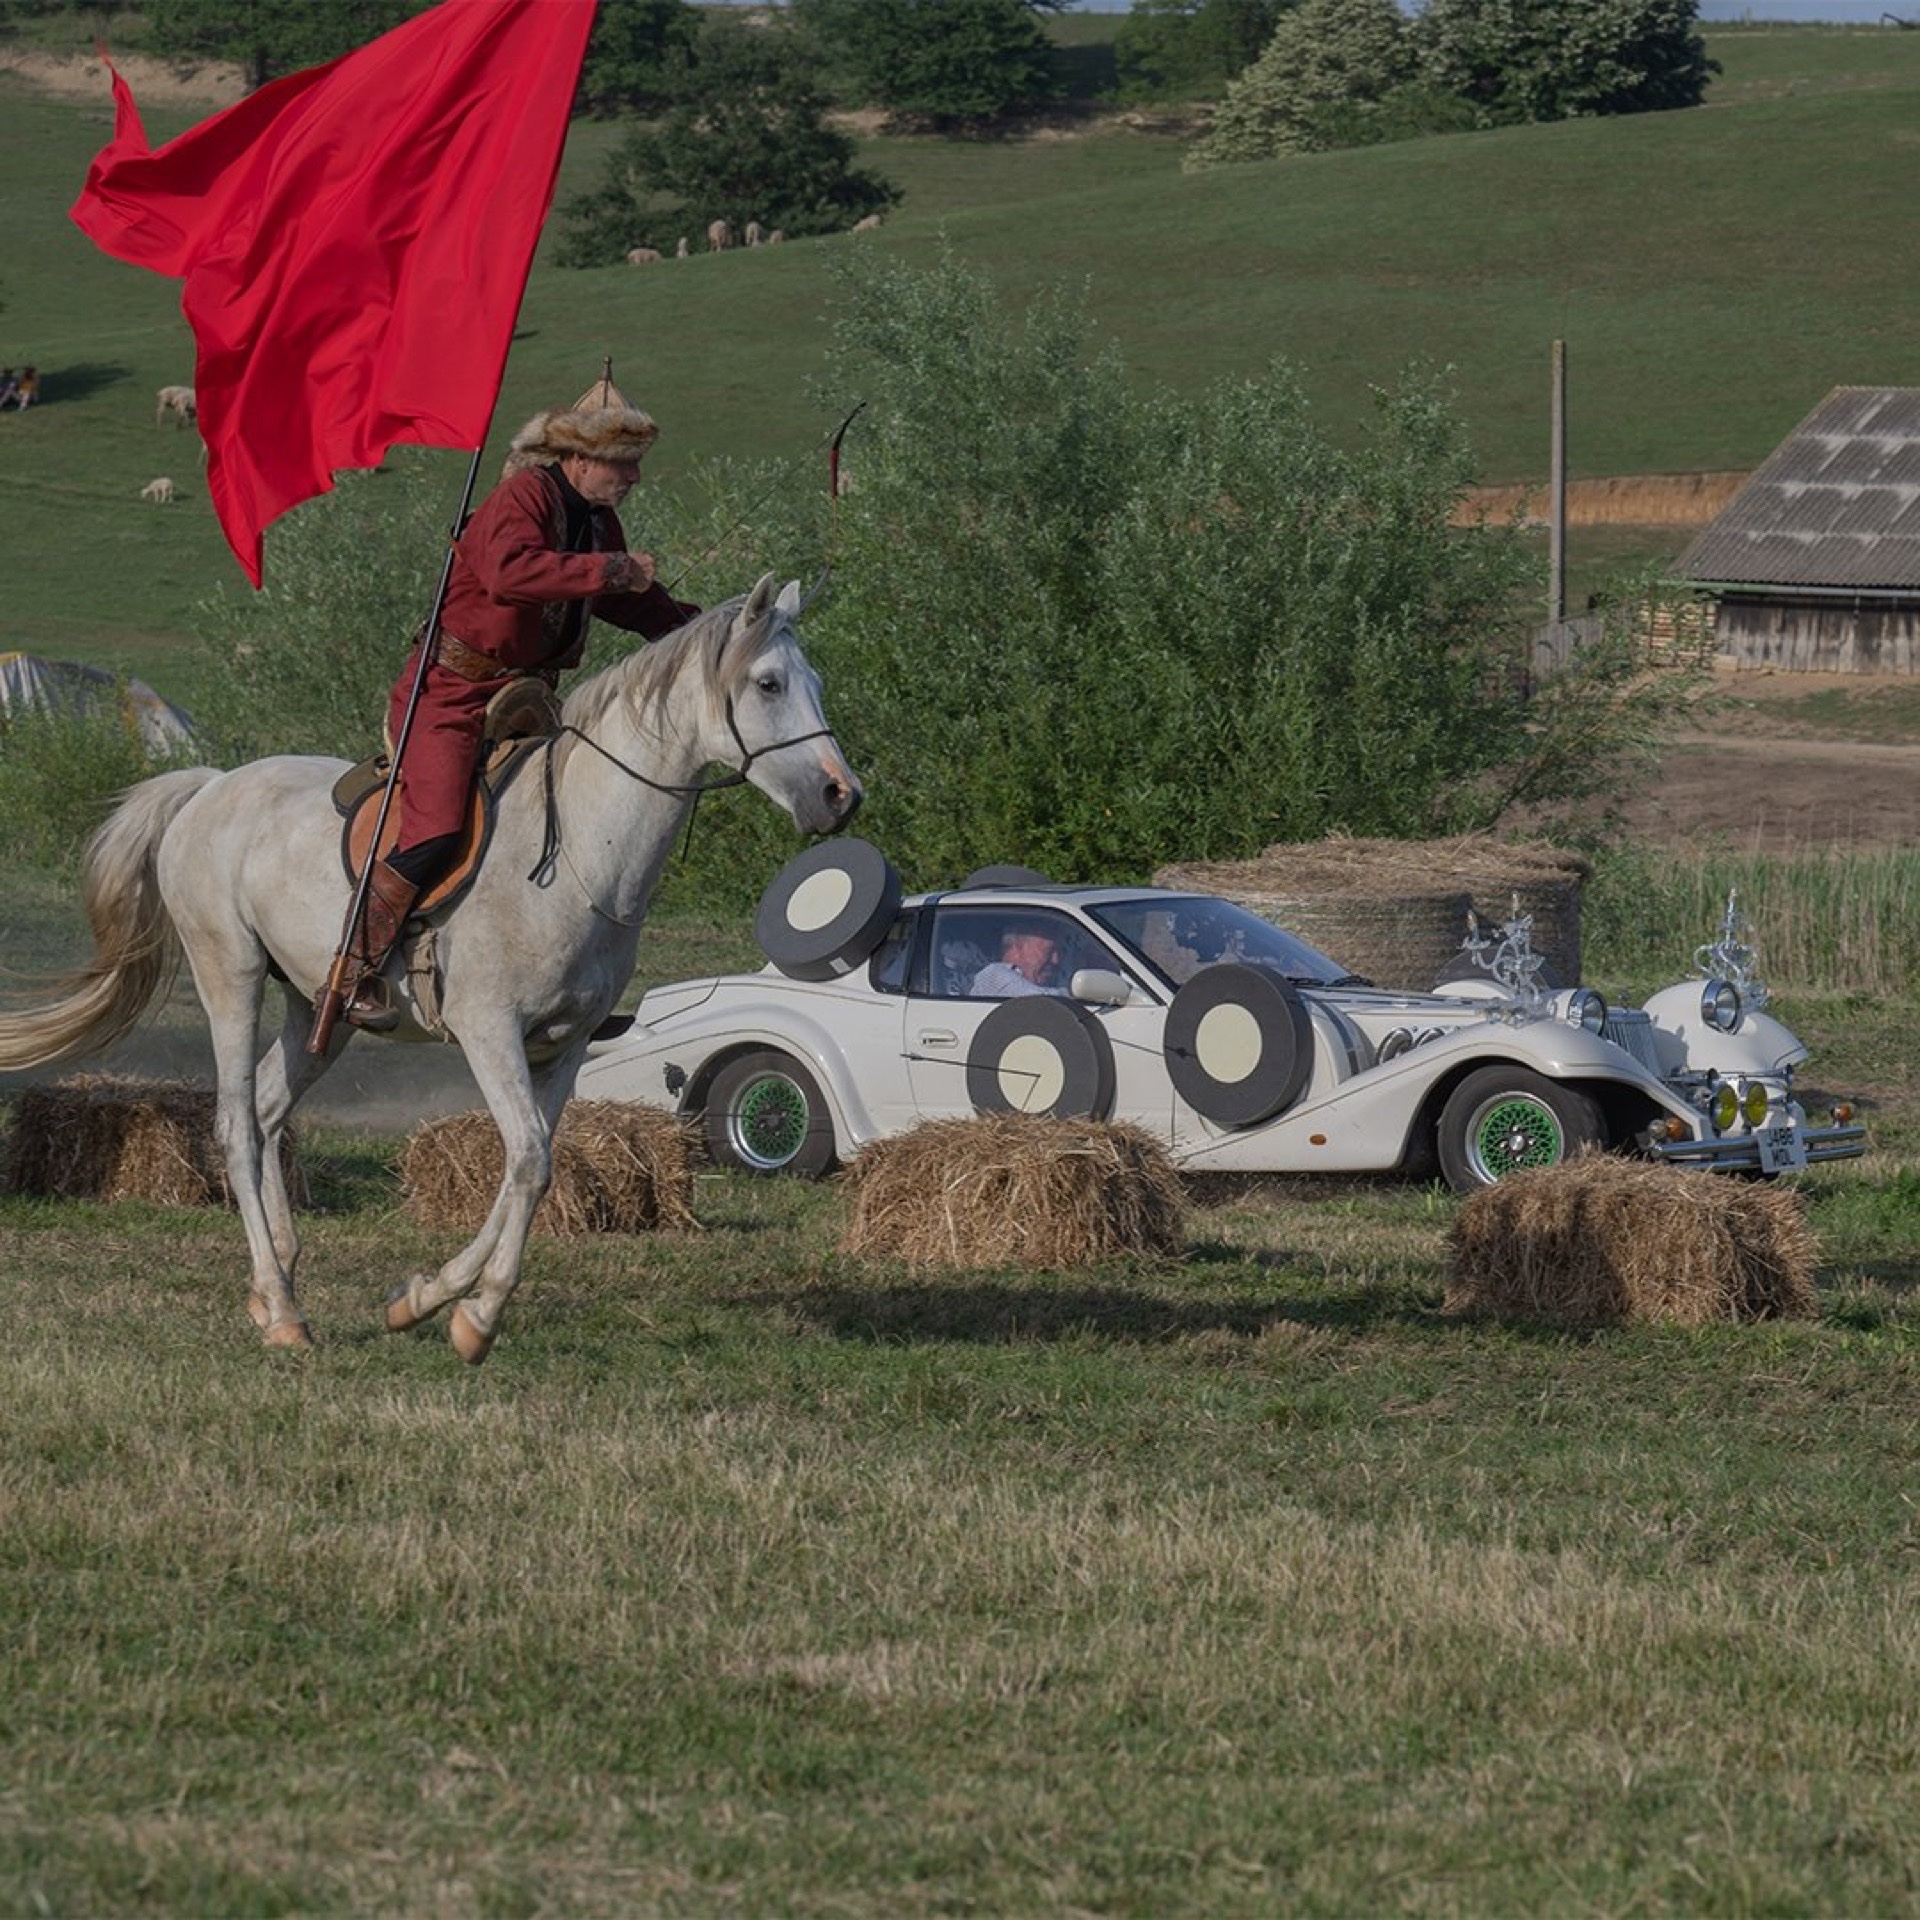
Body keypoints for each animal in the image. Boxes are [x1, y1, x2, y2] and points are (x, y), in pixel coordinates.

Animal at [0, 572, 864, 1367]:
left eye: (817, 683)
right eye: (769, 683)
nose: (840, 795)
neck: (581, 852)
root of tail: (209, 788)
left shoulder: (564, 1045)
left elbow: (532, 1167)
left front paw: (427, 1299)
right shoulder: (489, 1030)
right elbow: (528, 1160)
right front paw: (473, 1315)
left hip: (318, 1010)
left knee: (272, 1109)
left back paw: (278, 1285)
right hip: (231, 978)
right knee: (237, 1126)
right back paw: (279, 1305)